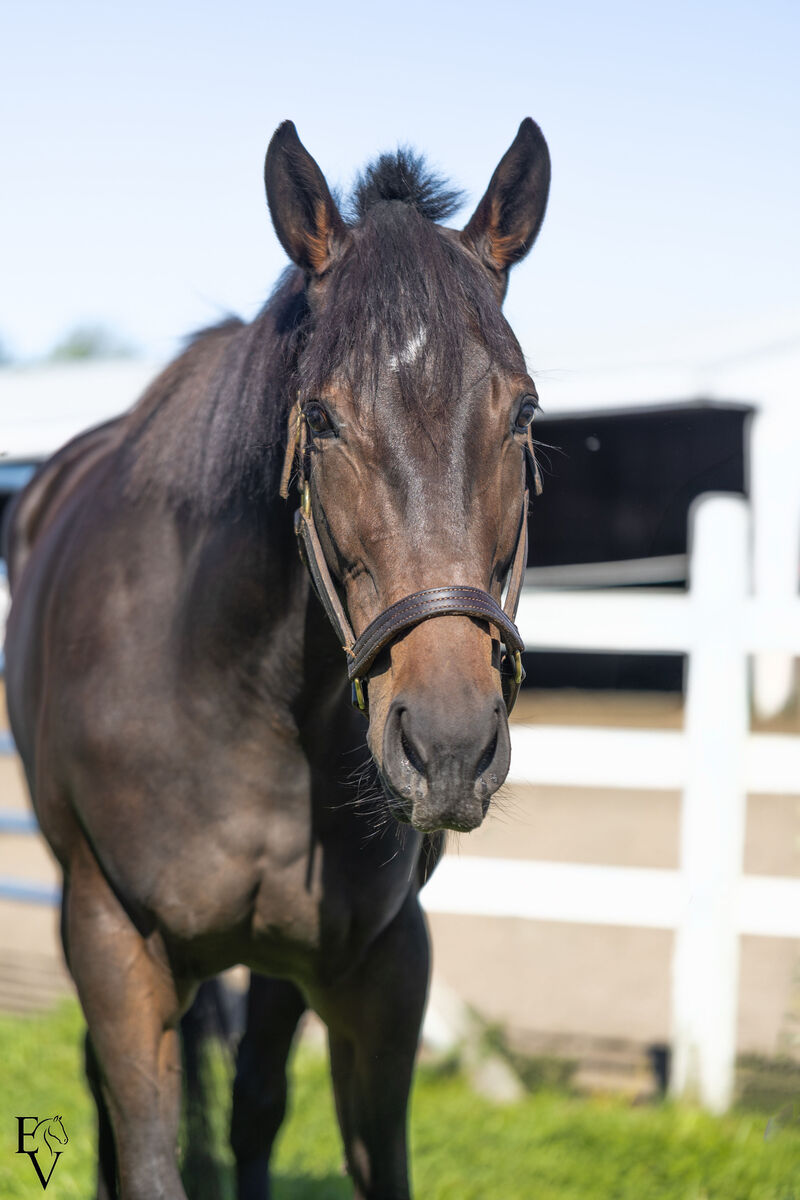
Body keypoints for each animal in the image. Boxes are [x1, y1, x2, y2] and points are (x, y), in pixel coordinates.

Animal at [4, 116, 550, 1200]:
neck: (235, 694)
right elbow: (146, 1150)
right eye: (325, 418)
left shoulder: (381, 966)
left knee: (254, 1102)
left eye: (521, 413)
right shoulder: (113, 946)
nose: (449, 746)